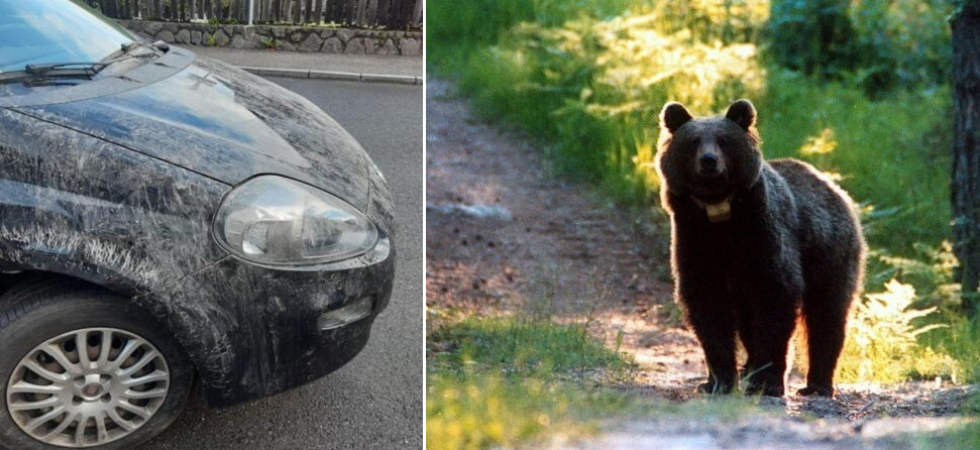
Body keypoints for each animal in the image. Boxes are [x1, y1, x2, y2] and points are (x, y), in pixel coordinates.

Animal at [654, 99, 865, 397]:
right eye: (693, 141)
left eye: (723, 140)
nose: (708, 161)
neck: (720, 216)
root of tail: (834, 188)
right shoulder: (696, 241)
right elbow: (708, 308)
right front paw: (717, 381)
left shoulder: (763, 238)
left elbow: (775, 301)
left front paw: (768, 382)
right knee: (747, 322)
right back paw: (748, 369)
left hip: (830, 253)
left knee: (828, 314)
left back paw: (817, 384)